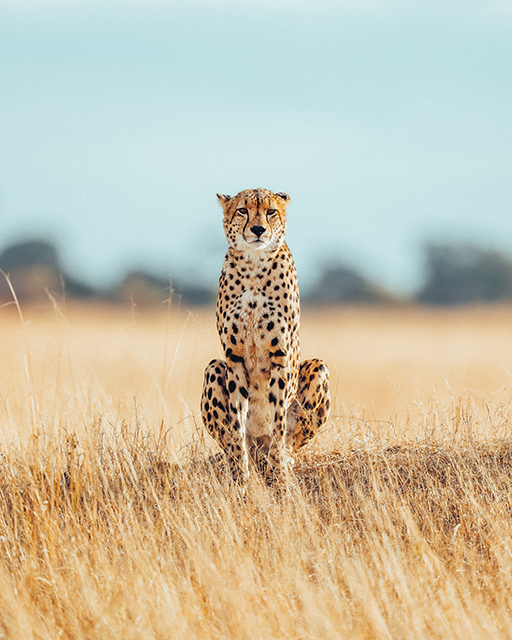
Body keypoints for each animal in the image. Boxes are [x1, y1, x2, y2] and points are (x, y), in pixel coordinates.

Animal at [201, 188, 330, 482]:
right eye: (242, 210)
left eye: (271, 211)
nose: (258, 229)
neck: (254, 264)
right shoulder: (234, 358)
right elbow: (236, 423)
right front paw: (240, 474)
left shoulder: (279, 357)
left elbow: (278, 421)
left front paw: (278, 472)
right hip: (214, 367)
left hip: (318, 367)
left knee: (290, 442)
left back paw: (283, 461)